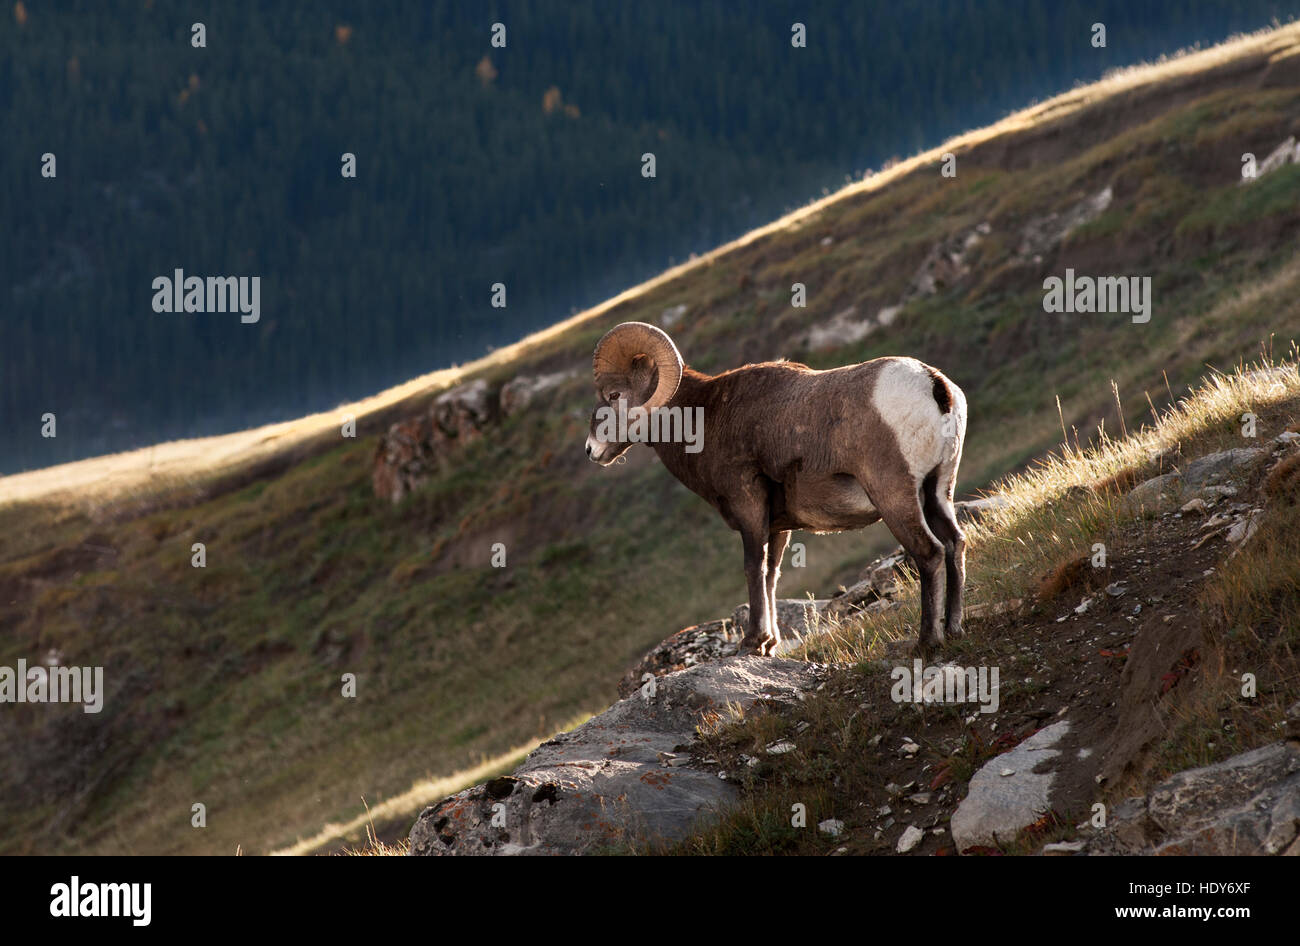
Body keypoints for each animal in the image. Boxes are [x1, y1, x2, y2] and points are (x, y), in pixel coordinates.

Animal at [584, 321, 967, 657]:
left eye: (615, 394)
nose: (591, 450)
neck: (706, 419)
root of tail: (934, 385)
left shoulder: (749, 505)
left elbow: (753, 567)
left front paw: (752, 643)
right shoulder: (778, 525)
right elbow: (772, 574)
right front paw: (769, 644)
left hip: (895, 497)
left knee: (929, 552)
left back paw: (927, 642)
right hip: (937, 491)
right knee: (954, 543)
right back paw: (953, 629)